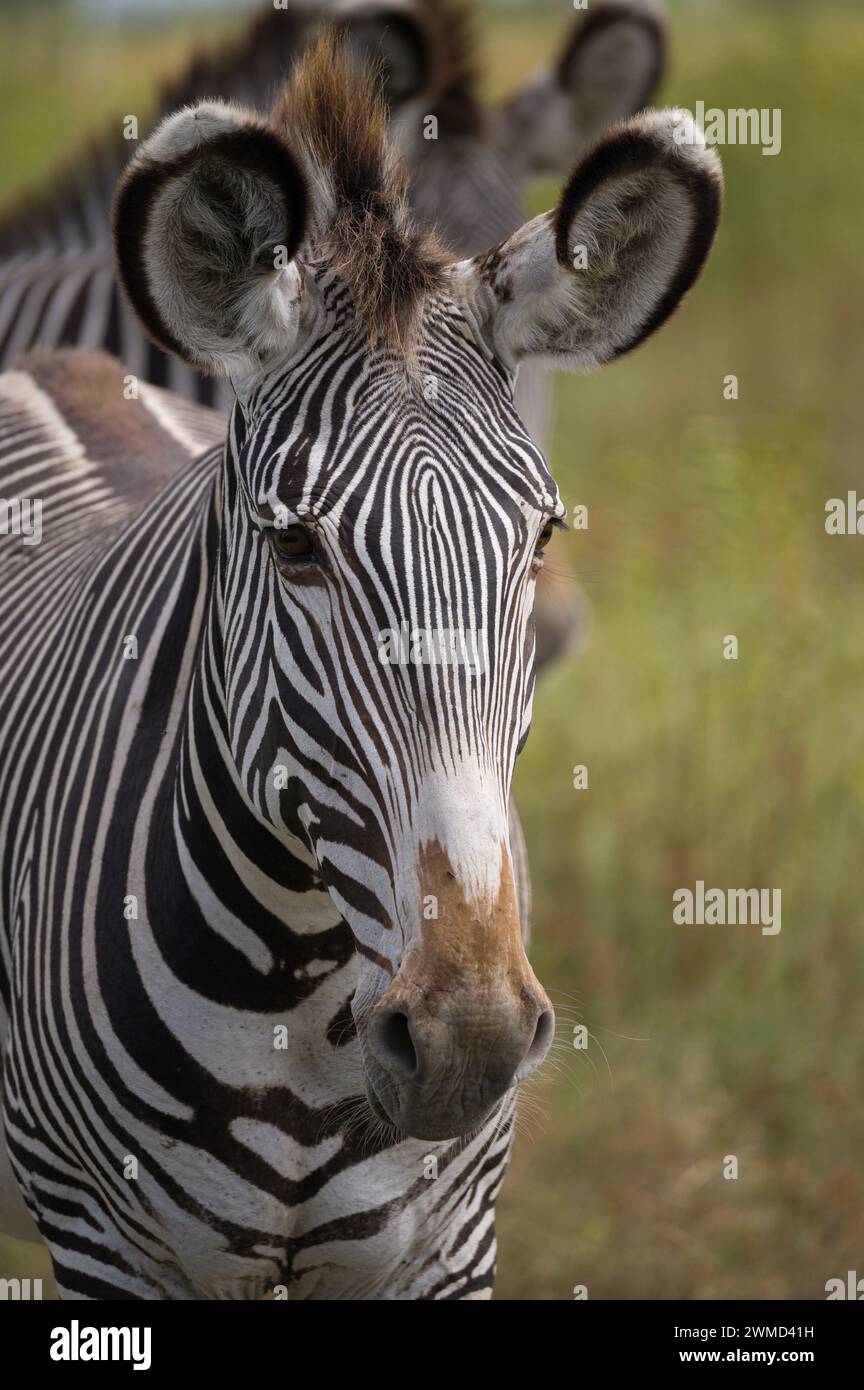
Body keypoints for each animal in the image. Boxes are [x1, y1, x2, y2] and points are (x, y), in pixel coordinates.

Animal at [0, 32, 722, 1295]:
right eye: (295, 545)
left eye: (540, 538)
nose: (467, 1036)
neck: (298, 974)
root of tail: (54, 363)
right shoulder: (102, 1243)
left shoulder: (448, 1247)